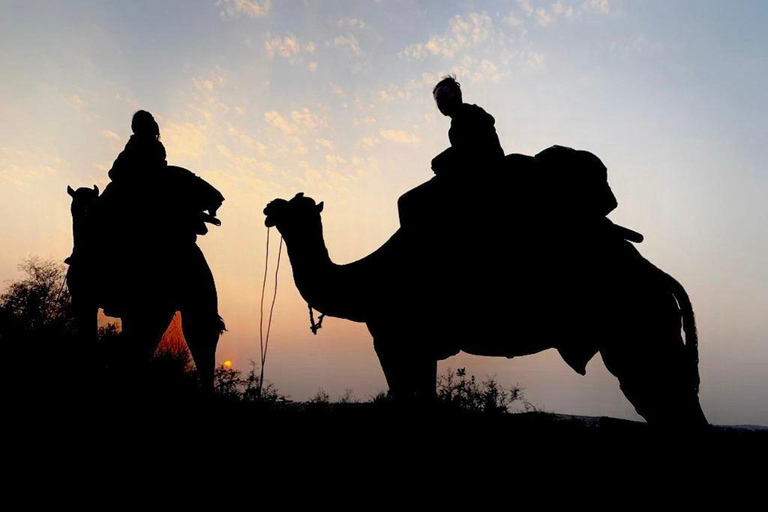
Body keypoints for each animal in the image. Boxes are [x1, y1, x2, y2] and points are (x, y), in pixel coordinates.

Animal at [264, 152, 708, 428]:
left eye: (294, 206)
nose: (268, 207)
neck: (366, 278)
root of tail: (662, 278)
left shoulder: (394, 338)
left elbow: (406, 401)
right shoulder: (420, 345)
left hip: (639, 327)